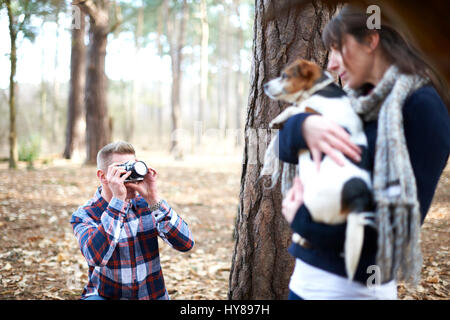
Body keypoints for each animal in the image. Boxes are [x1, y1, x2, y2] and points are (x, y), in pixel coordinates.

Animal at [262, 58, 374, 280]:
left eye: (285, 75)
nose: (264, 86)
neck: (322, 90)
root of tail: (356, 196)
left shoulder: (314, 114)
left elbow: (294, 110)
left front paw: (278, 118)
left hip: (313, 202)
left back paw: (299, 238)